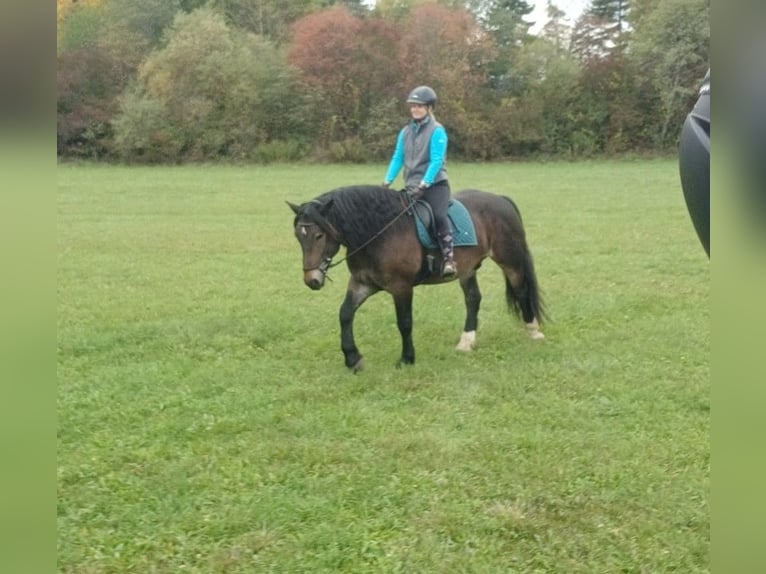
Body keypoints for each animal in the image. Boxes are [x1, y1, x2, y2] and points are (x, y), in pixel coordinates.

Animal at [288, 185, 546, 371]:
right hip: (467, 269)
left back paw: (533, 331)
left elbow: (404, 323)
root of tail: (501, 199)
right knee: (473, 299)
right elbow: (345, 314)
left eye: (319, 235)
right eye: (299, 236)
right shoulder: (363, 283)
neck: (379, 233)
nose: (312, 280)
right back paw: (466, 342)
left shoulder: (401, 287)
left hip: (510, 261)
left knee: (521, 290)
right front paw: (353, 359)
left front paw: (407, 358)